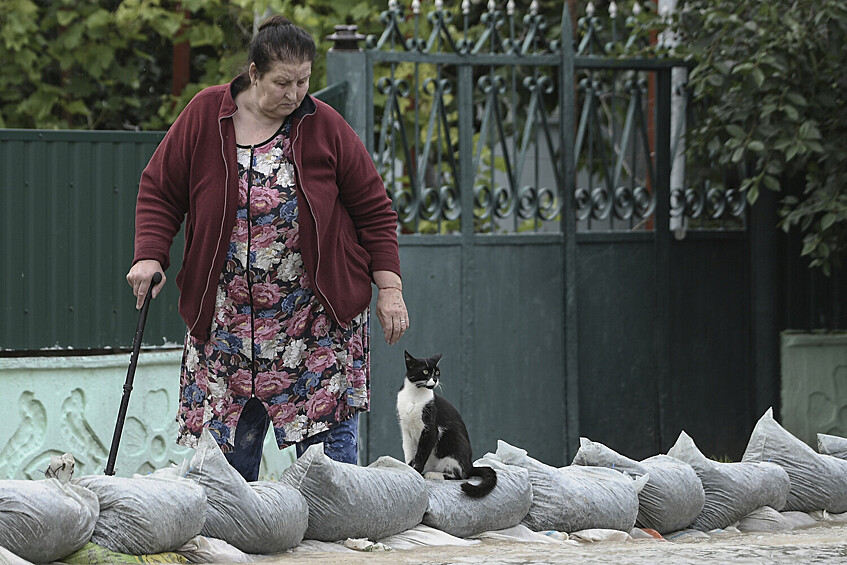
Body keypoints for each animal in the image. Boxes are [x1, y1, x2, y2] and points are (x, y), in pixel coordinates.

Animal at [398, 348, 496, 498]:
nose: (435, 379)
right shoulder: (406, 431)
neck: (414, 395)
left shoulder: (430, 429)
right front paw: (409, 469)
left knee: (462, 475)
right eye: (425, 371)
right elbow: (410, 452)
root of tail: (470, 465)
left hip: (451, 438)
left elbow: (421, 453)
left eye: (437, 372)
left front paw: (417, 472)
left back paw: (432, 474)